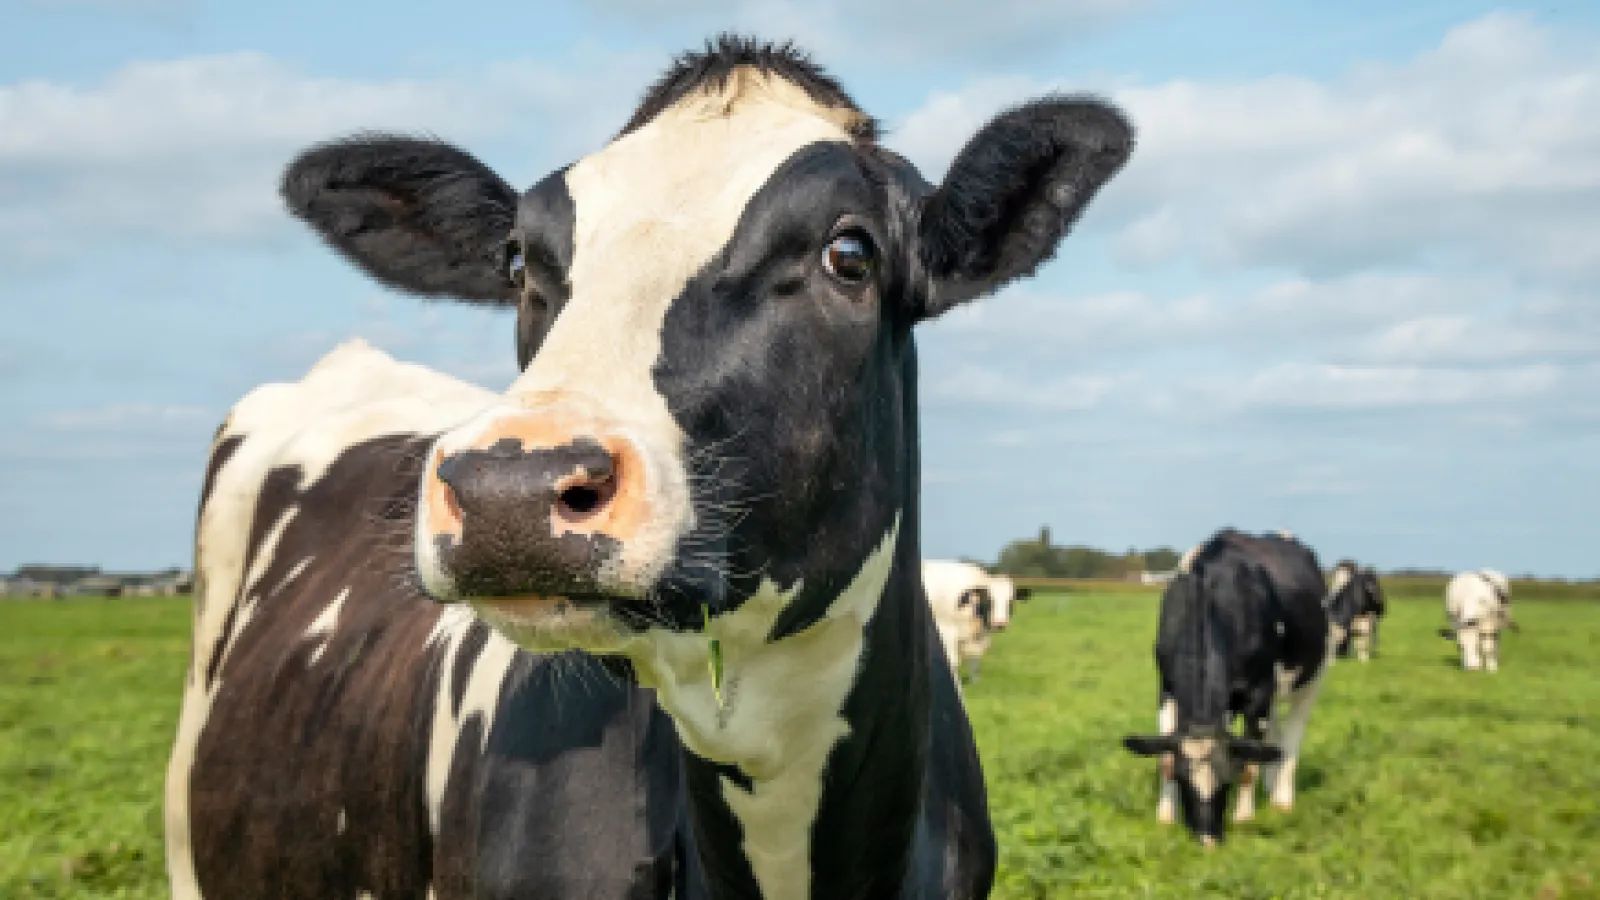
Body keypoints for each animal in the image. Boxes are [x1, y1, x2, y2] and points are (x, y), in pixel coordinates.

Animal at [1122, 529, 1334, 845]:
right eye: (1183, 779)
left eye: (1226, 780)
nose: (1208, 840)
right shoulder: (1167, 688)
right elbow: (1166, 758)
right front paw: (1165, 817)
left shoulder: (1258, 693)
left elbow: (1248, 763)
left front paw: (1243, 817)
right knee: (1273, 737)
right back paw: (1271, 784)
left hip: (1313, 676)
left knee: (1292, 735)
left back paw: (1282, 798)